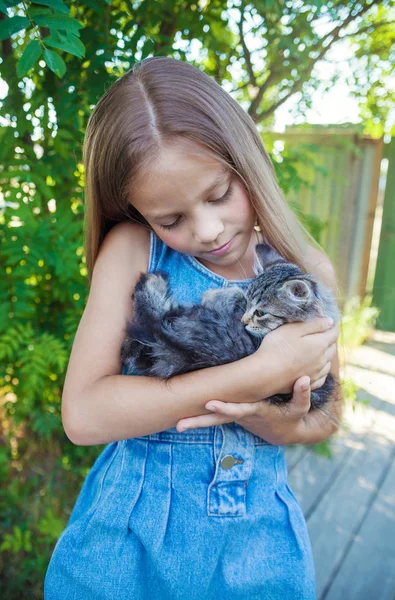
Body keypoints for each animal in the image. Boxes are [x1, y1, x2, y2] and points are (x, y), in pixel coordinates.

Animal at [120, 241, 340, 410]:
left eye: (261, 313)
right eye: (250, 302)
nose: (243, 321)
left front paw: (213, 295)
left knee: (153, 315)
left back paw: (152, 283)